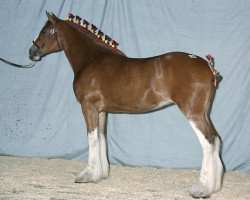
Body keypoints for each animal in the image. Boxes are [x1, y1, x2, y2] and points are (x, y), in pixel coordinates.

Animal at [28, 12, 223, 198]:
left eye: (45, 31)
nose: (31, 52)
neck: (91, 59)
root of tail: (207, 66)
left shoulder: (88, 107)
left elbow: (92, 138)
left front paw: (87, 175)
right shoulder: (102, 111)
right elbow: (101, 136)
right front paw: (101, 173)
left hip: (193, 113)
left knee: (208, 142)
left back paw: (201, 189)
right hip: (204, 114)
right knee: (216, 140)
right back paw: (214, 186)